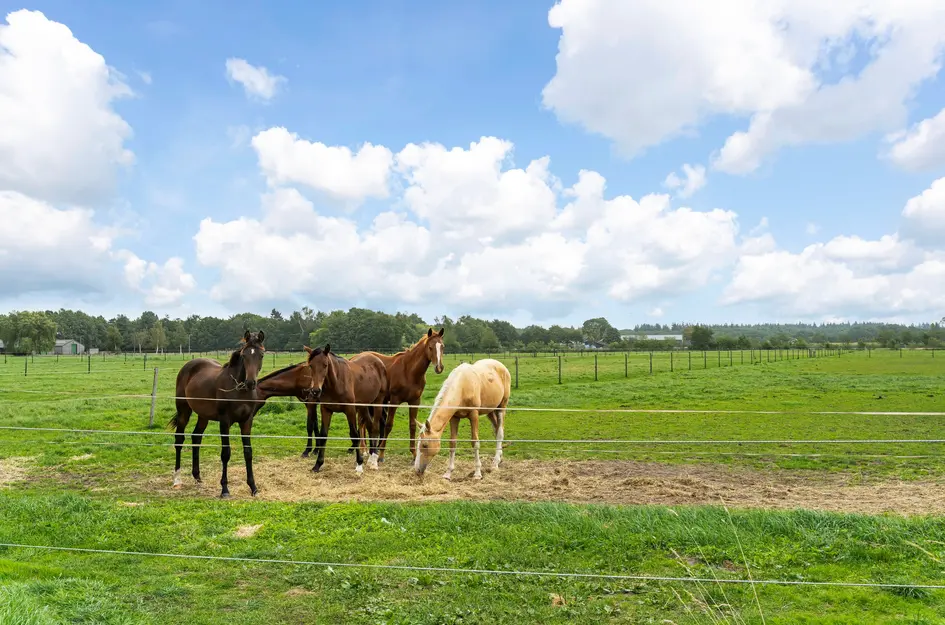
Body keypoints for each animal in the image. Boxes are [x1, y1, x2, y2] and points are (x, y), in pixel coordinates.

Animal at [168, 332, 266, 498]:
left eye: (261, 355)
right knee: (179, 440)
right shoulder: (224, 422)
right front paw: (225, 489)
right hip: (184, 411)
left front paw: (253, 487)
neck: (239, 390)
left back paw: (197, 477)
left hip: (203, 416)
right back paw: (177, 479)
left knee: (196, 437)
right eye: (244, 355)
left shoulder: (247, 422)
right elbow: (225, 453)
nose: (250, 383)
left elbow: (248, 452)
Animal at [304, 342, 390, 472]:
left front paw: (359, 465)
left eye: (325, 365)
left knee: (375, 428)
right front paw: (318, 464)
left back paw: (374, 461)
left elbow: (355, 435)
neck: (336, 383)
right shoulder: (326, 410)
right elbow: (323, 435)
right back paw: (370, 457)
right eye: (310, 366)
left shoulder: (350, 410)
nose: (315, 391)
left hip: (377, 403)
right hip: (364, 406)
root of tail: (379, 362)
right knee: (370, 427)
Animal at [366, 330, 446, 460]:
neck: (409, 371)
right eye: (430, 347)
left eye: (442, 346)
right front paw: (381, 454)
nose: (439, 367)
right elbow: (388, 425)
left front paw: (414, 453)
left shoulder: (415, 401)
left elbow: (412, 425)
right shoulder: (394, 401)